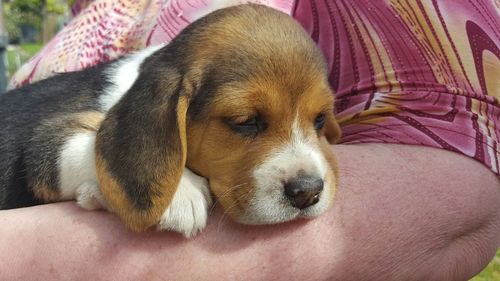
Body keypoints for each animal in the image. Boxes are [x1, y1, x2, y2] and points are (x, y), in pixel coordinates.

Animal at [0, 4, 340, 236]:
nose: (308, 191)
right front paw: (179, 190)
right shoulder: (43, 143)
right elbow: (87, 144)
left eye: (320, 119)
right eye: (244, 121)